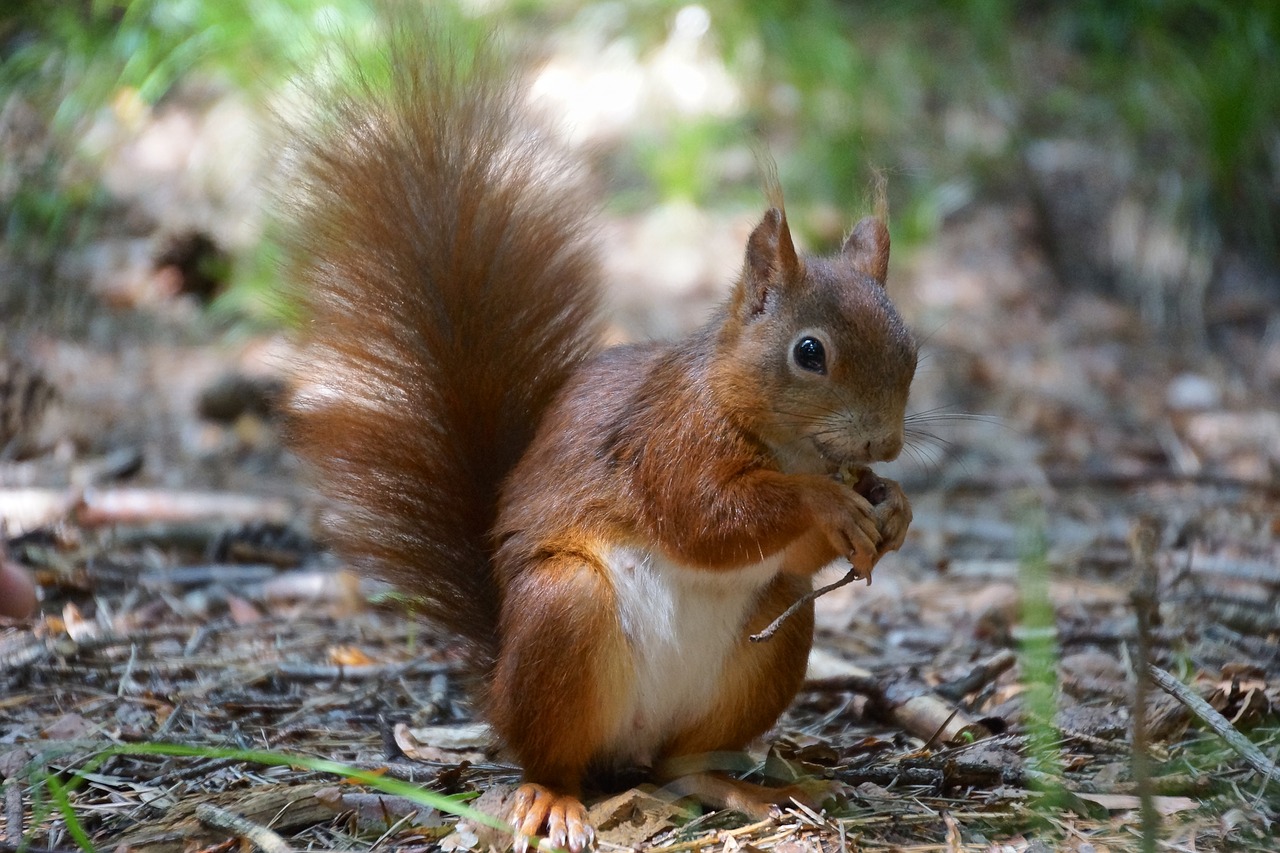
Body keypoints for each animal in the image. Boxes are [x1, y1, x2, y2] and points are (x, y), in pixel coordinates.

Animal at [285, 28, 916, 850]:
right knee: (555, 754)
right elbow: (703, 518)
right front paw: (829, 503)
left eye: (912, 348)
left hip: (769, 640)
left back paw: (747, 787)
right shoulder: (666, 440)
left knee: (683, 760)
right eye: (809, 353)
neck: (785, 446)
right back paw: (554, 799)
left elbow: (792, 551)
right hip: (565, 611)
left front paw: (893, 508)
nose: (885, 445)